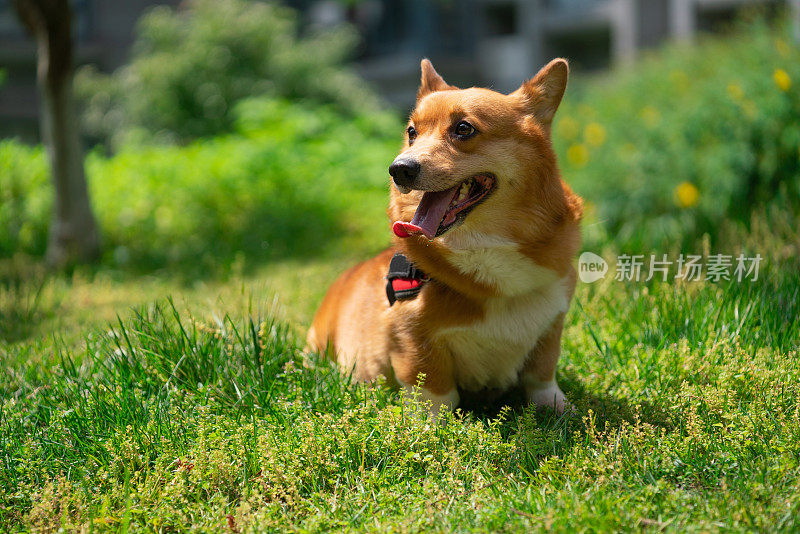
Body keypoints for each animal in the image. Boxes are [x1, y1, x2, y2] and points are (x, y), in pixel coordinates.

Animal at [306, 59, 580, 418]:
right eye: (412, 133)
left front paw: (559, 408)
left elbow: (542, 375)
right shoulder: (413, 338)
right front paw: (434, 425)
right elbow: (435, 389)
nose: (398, 169)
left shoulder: (552, 323)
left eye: (464, 128)